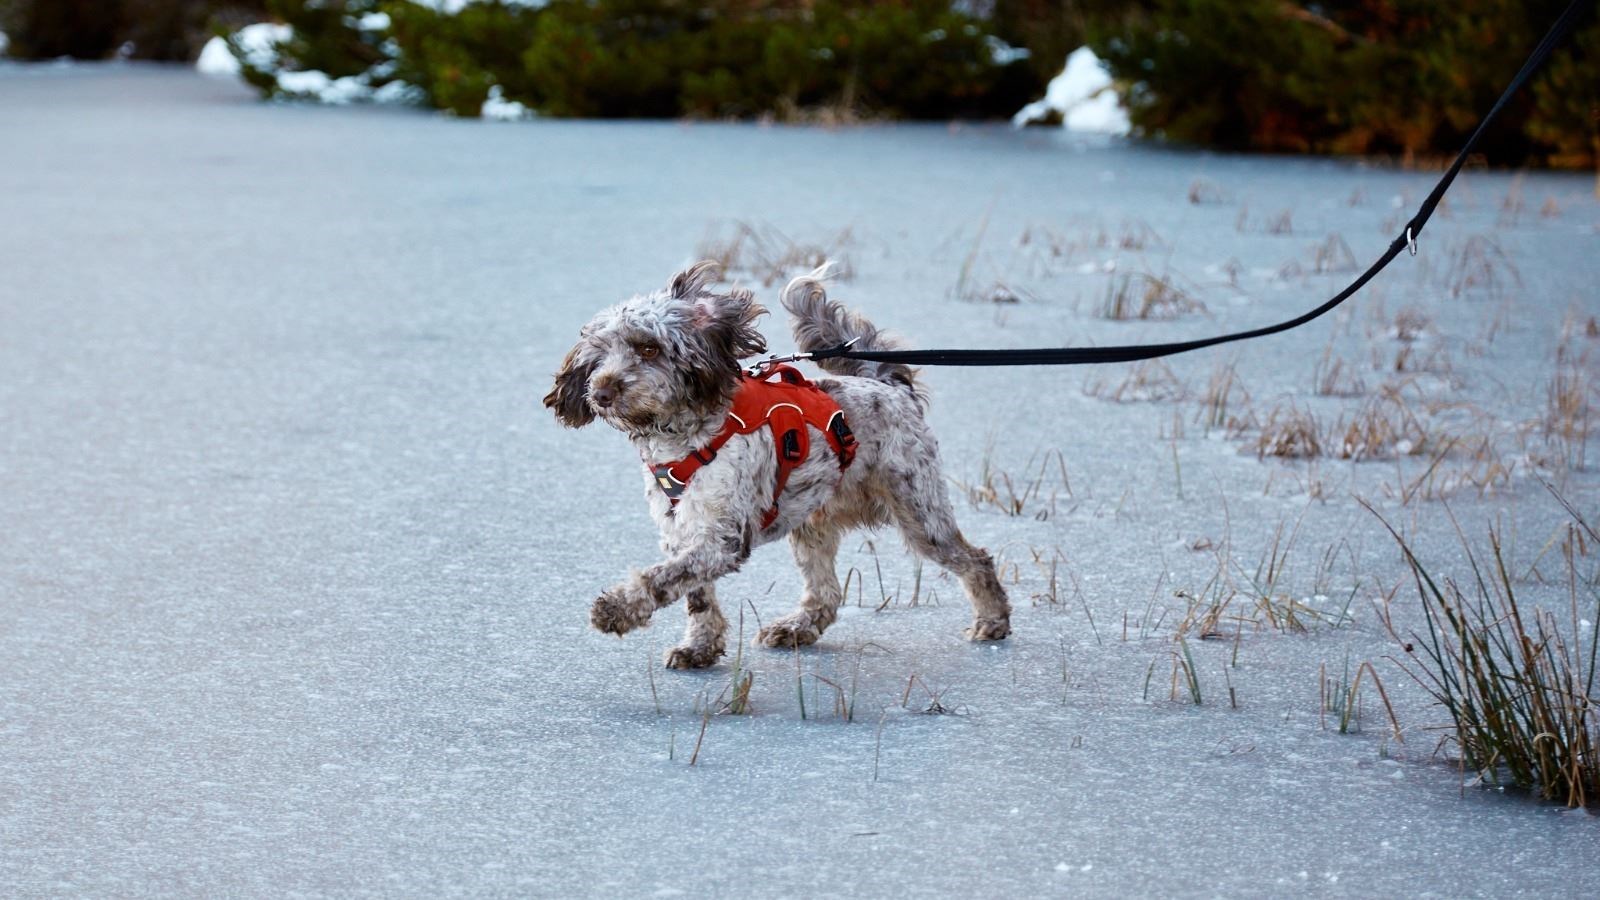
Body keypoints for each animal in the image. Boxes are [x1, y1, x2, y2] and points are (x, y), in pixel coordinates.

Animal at [544, 259, 1004, 666]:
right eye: (599, 354)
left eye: (649, 348)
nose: (601, 392)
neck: (683, 437)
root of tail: (889, 385)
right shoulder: (682, 530)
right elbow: (696, 595)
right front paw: (700, 649)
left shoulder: (723, 537)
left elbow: (662, 578)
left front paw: (615, 610)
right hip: (813, 524)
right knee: (826, 594)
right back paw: (796, 628)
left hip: (919, 511)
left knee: (976, 559)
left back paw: (993, 620)